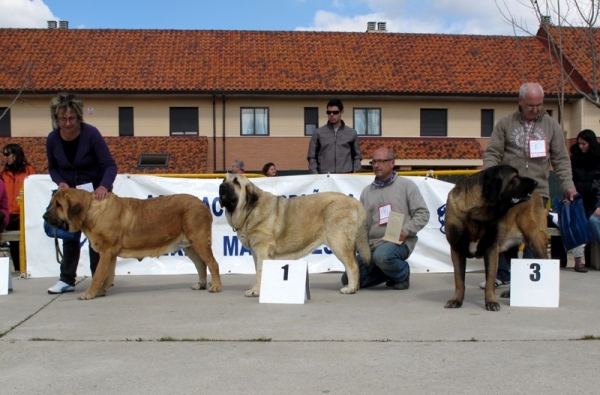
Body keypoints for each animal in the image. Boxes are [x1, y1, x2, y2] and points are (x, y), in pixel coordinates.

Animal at [42, 190, 223, 302]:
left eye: (58, 204)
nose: (44, 216)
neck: (89, 210)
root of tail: (203, 204)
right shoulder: (110, 254)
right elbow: (107, 275)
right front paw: (101, 292)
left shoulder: (106, 251)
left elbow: (98, 275)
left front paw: (89, 294)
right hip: (189, 246)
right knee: (201, 264)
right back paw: (200, 284)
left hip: (199, 241)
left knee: (212, 263)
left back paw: (216, 286)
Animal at [218, 174, 372, 296]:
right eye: (224, 179)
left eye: (236, 182)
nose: (222, 186)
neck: (250, 211)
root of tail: (356, 202)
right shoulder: (256, 252)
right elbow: (258, 270)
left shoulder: (262, 250)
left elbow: (261, 271)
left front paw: (256, 290)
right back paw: (355, 286)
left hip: (338, 242)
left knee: (352, 266)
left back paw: (350, 289)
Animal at [442, 165, 548, 312]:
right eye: (514, 178)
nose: (535, 182)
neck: (476, 214)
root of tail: (537, 195)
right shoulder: (457, 249)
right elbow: (459, 279)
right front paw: (456, 300)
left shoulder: (491, 248)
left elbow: (490, 280)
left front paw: (491, 302)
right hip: (511, 251)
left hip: (536, 241)